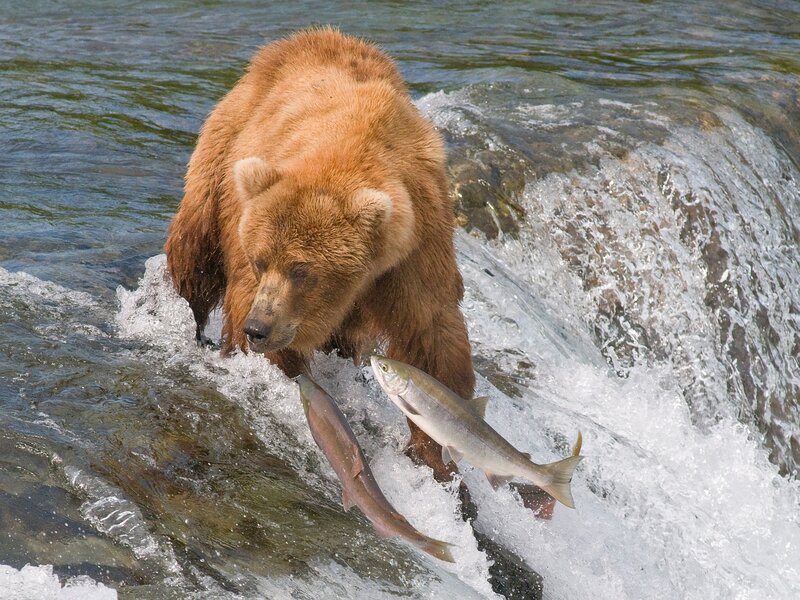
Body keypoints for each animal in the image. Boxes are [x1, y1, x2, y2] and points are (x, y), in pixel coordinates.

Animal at [164, 28, 475, 482]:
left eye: (302, 270)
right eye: (260, 260)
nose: (259, 328)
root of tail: (299, 39)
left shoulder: (415, 245)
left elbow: (431, 337)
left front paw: (436, 454)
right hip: (224, 153)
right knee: (195, 250)